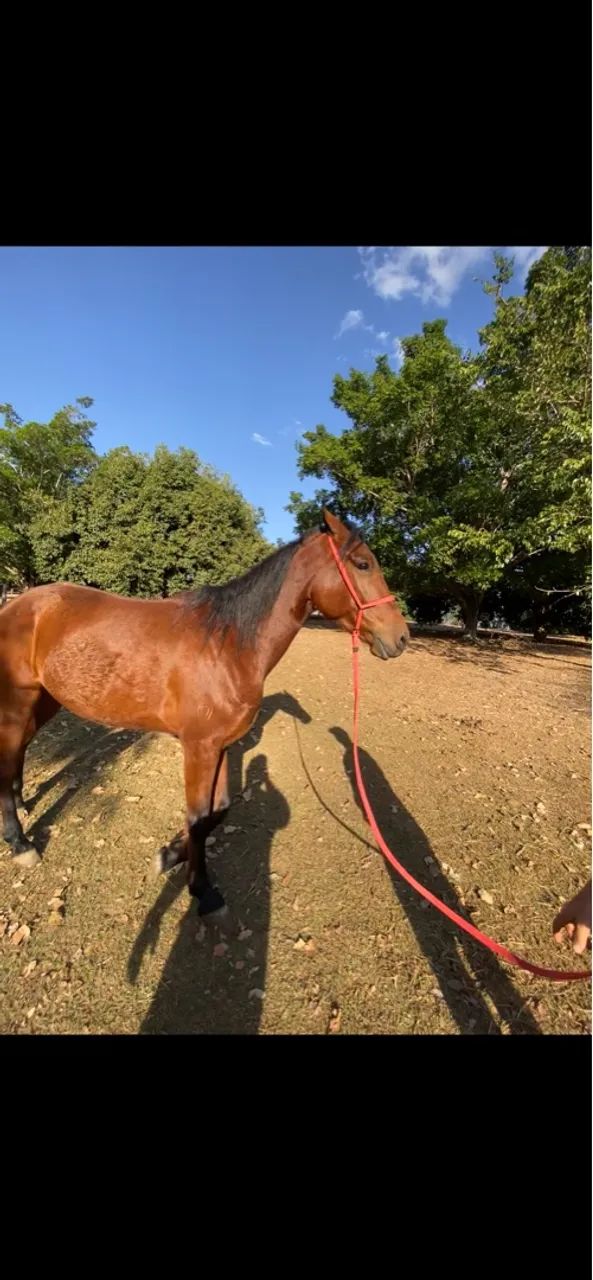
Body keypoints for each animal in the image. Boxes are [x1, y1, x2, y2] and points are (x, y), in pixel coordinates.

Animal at [0, 509, 409, 921]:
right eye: (362, 563)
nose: (401, 638)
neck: (228, 646)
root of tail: (15, 605)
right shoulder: (199, 748)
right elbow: (198, 820)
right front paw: (202, 889)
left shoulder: (222, 745)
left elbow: (219, 812)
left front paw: (169, 855)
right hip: (16, 703)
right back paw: (21, 844)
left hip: (44, 701)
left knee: (20, 752)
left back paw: (22, 806)